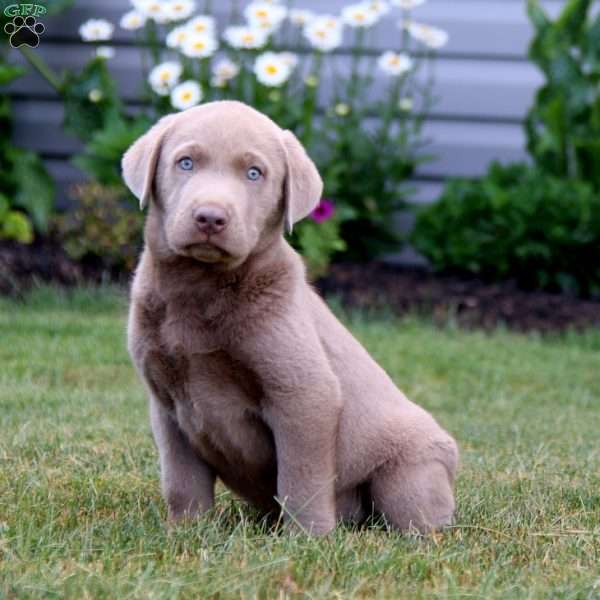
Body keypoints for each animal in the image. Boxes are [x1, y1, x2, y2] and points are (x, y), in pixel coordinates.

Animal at [123, 102, 460, 536]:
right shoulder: (166, 401)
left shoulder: (304, 394)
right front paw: (186, 529)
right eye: (185, 162)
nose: (210, 218)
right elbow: (182, 478)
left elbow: (301, 476)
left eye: (254, 173)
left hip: (411, 470)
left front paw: (309, 538)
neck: (199, 289)